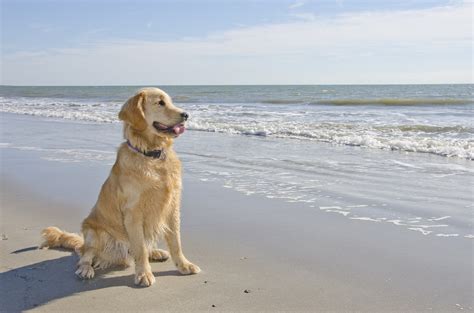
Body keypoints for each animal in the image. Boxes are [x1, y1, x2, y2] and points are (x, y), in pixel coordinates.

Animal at [41, 87, 202, 286]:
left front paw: (184, 265)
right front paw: (144, 274)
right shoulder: (133, 212)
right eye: (160, 103)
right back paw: (86, 269)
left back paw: (156, 252)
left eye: (171, 101)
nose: (186, 115)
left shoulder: (172, 207)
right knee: (86, 256)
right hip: (93, 232)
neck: (151, 155)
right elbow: (140, 248)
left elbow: (175, 242)